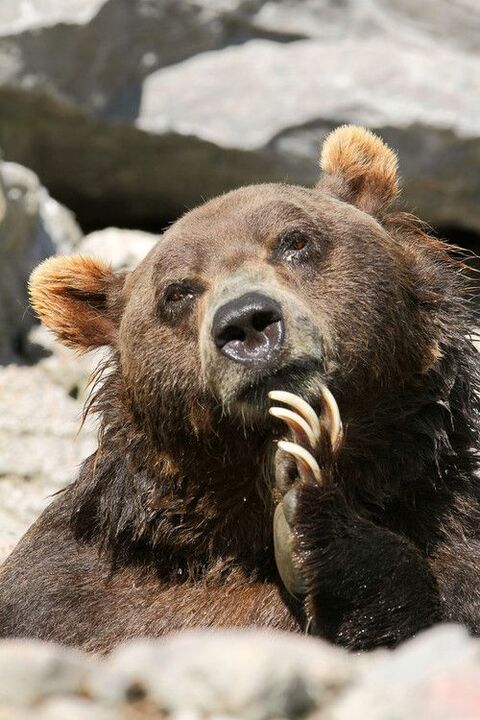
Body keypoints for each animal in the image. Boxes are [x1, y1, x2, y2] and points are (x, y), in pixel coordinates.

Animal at [0, 125, 478, 653]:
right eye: (177, 291)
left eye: (295, 240)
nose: (247, 322)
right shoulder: (68, 588)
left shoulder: (451, 524)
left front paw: (311, 514)